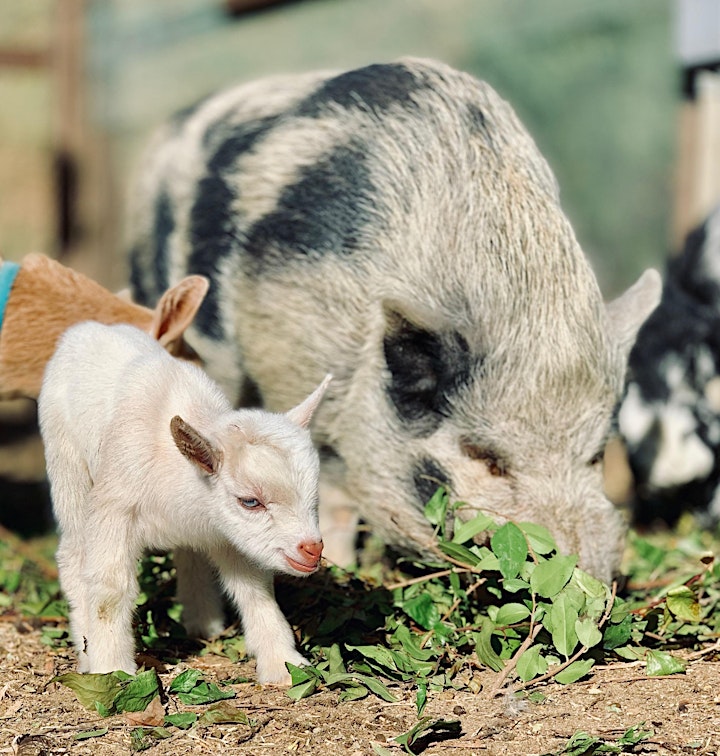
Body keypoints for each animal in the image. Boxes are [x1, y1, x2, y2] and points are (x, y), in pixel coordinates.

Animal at [38, 322, 330, 688]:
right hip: (67, 461)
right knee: (73, 551)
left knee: (190, 553)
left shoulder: (226, 530)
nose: (312, 549)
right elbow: (110, 590)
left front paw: (284, 664)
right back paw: (86, 645)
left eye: (314, 493)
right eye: (251, 501)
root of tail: (88, 327)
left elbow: (254, 589)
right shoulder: (114, 508)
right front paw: (112, 671)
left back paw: (202, 621)